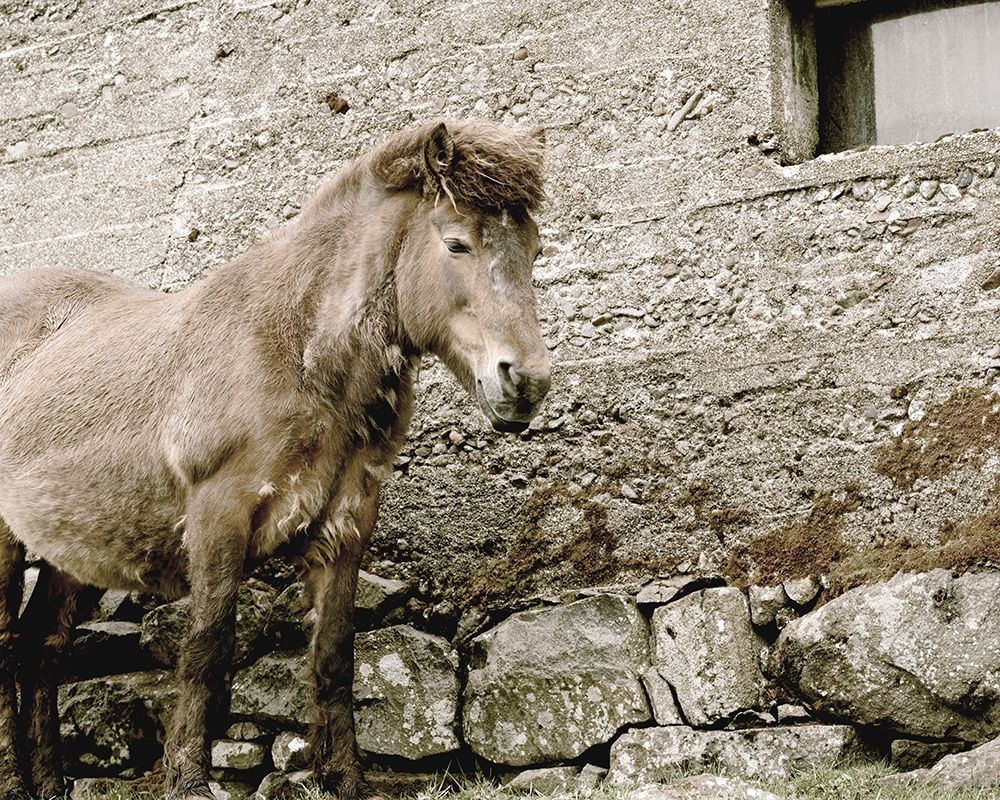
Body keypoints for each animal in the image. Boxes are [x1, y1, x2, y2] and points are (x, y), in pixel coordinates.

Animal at [0, 119, 550, 800]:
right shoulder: (219, 515)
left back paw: (48, 784)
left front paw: (344, 779)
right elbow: (207, 648)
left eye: (534, 250)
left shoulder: (346, 522)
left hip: (70, 548)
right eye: (456, 244)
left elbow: (334, 655)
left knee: (40, 649)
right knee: (7, 650)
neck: (298, 350)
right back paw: (14, 780)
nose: (526, 382)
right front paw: (189, 779)